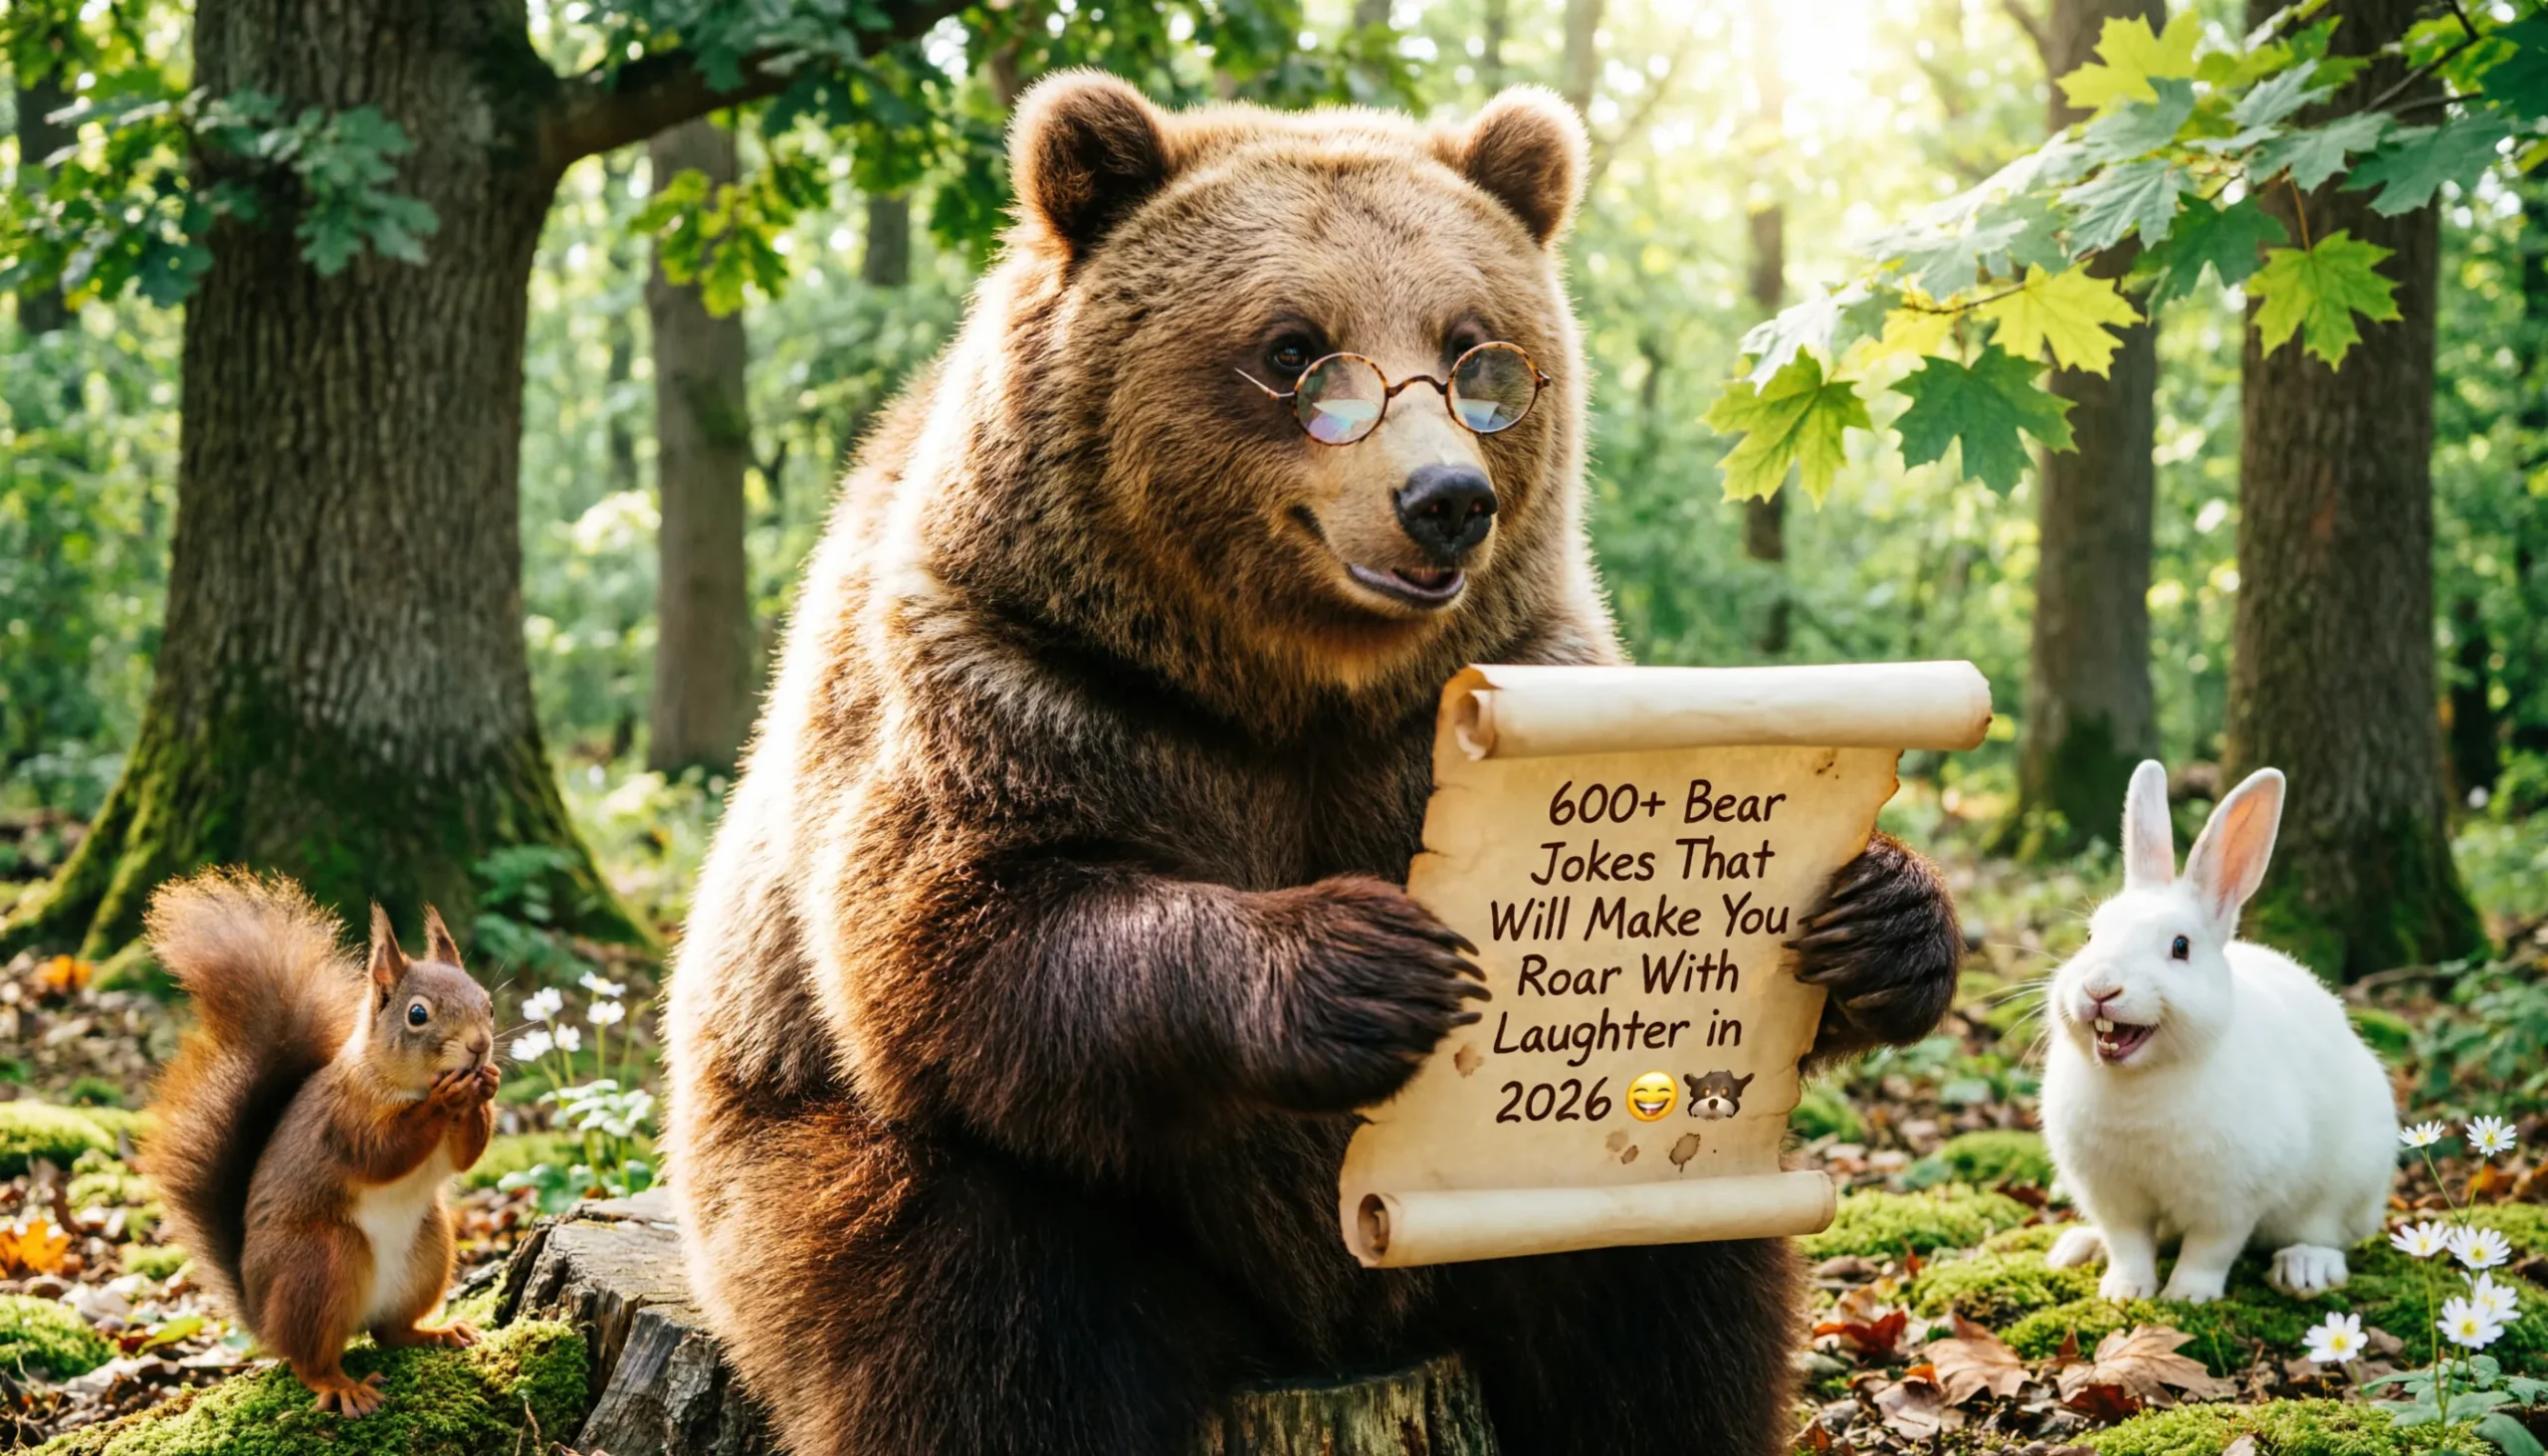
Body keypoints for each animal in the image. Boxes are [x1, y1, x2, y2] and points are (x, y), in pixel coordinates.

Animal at [663, 72, 1963, 1456]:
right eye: (1294, 348)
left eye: (1474, 352)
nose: (1445, 498)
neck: (1286, 684)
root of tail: (1325, 1338)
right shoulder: (1023, 678)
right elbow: (957, 927)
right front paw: (1367, 961)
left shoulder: (1467, 695)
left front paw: (1882, 914)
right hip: (838, 1172)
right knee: (988, 1322)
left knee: (1661, 1302)